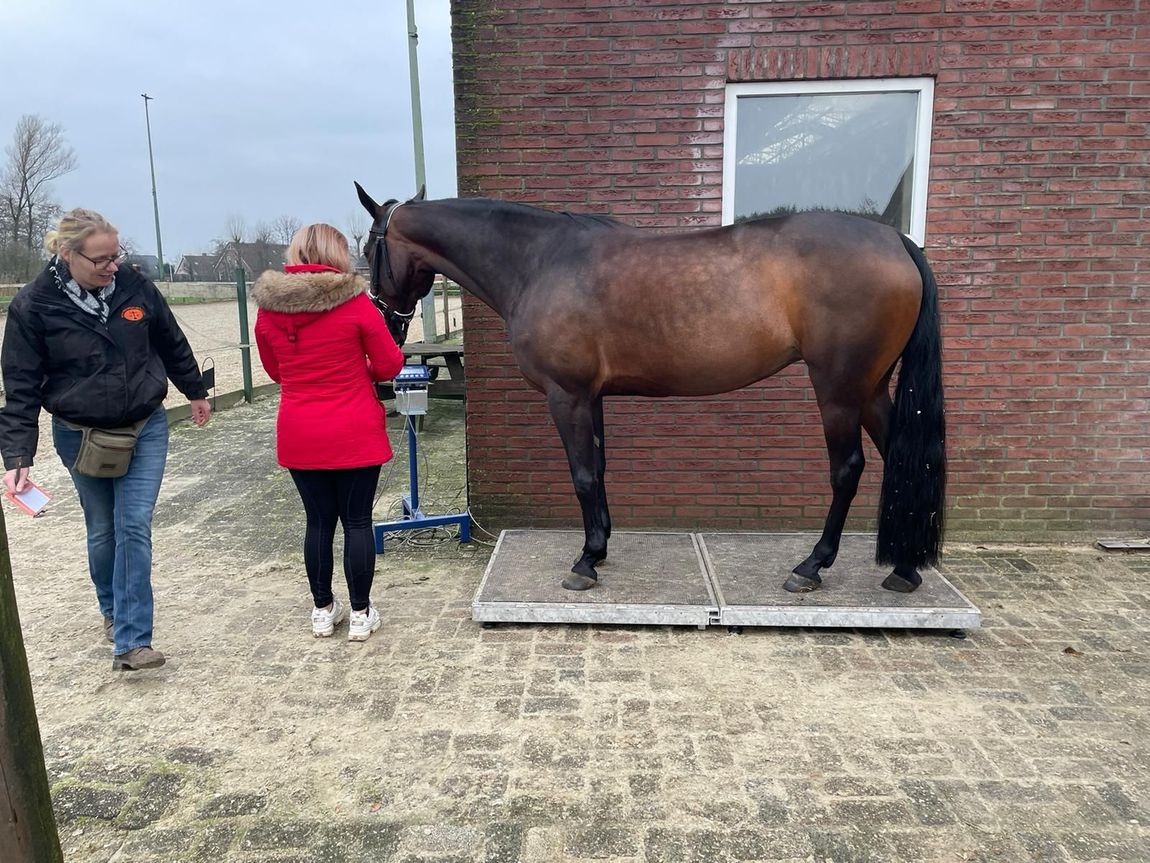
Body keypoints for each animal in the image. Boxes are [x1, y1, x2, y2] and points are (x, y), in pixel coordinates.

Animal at [355, 183, 946, 595]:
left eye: (370, 246)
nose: (385, 323)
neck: (538, 261)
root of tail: (896, 240)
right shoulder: (590, 396)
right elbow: (598, 469)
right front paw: (601, 547)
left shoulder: (566, 395)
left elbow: (582, 475)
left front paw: (585, 562)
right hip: (871, 388)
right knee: (900, 456)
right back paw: (904, 568)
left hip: (840, 389)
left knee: (848, 470)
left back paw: (812, 566)